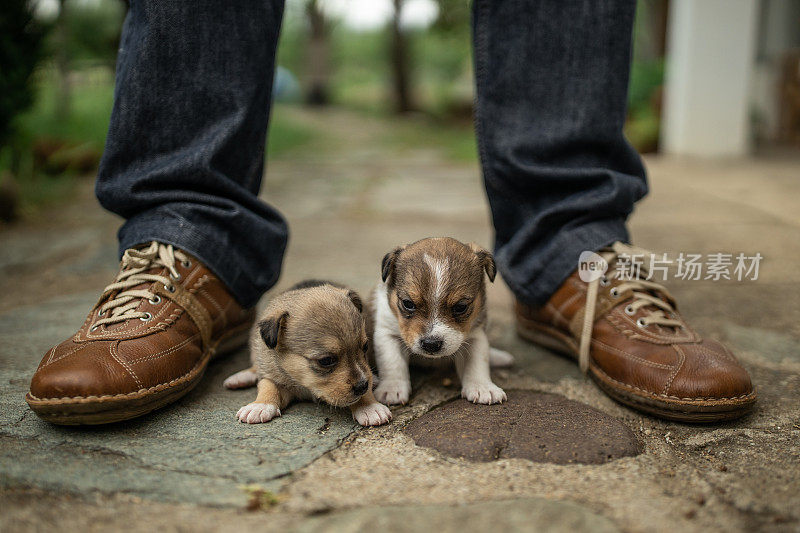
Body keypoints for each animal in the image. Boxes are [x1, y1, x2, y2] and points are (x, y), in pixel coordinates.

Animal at [223, 280, 392, 426]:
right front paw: (260, 406)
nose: (363, 385)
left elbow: (365, 388)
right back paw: (242, 377)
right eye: (326, 360)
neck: (305, 384)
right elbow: (267, 386)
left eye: (365, 347)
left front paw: (369, 407)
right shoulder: (275, 375)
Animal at [374, 237, 516, 404]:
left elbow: (477, 361)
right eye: (408, 303)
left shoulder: (476, 335)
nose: (431, 344)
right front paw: (392, 389)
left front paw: (482, 387)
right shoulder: (387, 333)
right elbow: (392, 362)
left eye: (461, 307)